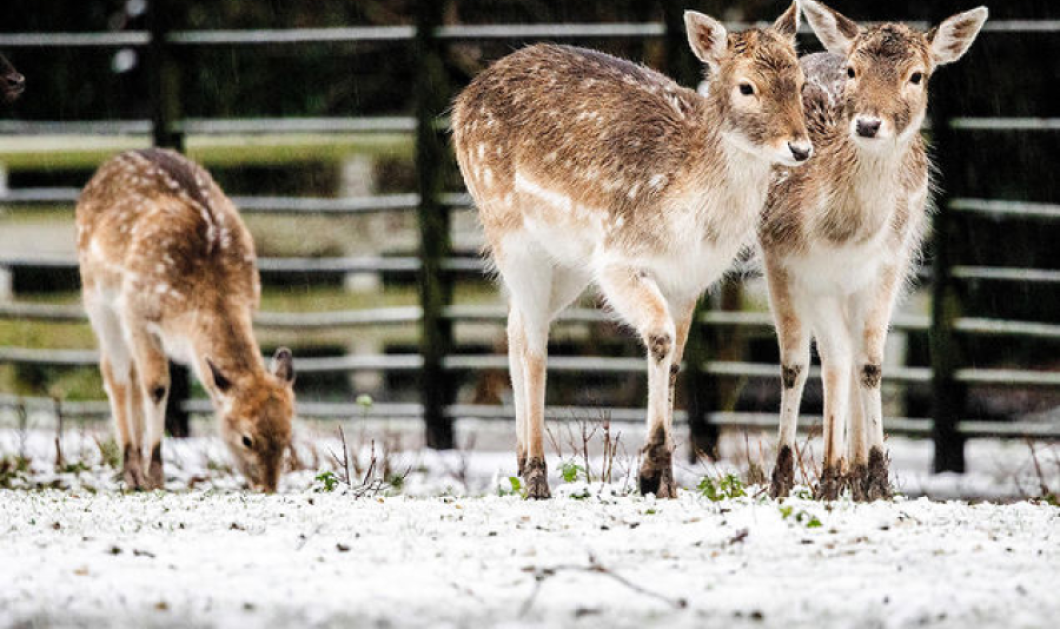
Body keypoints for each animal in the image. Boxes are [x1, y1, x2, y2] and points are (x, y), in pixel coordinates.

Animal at [77, 147, 298, 490]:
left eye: (288, 437)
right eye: (246, 438)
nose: (268, 487)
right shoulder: (136, 313)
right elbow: (156, 387)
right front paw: (155, 474)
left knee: (129, 376)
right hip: (97, 297)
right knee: (115, 375)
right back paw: (131, 469)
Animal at [453, 2, 809, 498]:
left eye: (800, 81)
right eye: (747, 87)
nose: (800, 147)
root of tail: (461, 101)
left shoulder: (688, 279)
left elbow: (675, 359)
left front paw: (667, 482)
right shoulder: (618, 259)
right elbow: (658, 337)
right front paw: (649, 472)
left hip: (565, 264)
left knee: (515, 325)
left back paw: (522, 463)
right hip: (508, 228)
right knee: (534, 344)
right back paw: (538, 476)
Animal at [758, 0, 987, 500]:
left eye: (917, 75)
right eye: (853, 70)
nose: (866, 123)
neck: (842, 238)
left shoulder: (886, 265)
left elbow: (870, 364)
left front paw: (876, 480)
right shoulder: (792, 264)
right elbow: (810, 364)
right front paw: (804, 478)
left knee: (854, 355)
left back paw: (857, 473)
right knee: (821, 360)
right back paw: (827, 472)